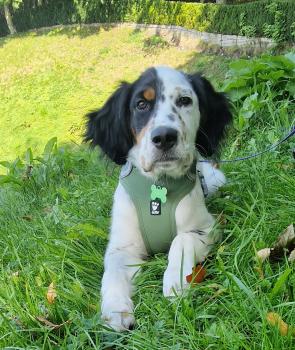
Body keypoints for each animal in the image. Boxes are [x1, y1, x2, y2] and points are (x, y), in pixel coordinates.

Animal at [84, 65, 232, 330]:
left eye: (184, 100)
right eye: (141, 104)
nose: (164, 137)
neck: (159, 185)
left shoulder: (207, 227)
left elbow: (181, 241)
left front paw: (175, 281)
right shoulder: (123, 245)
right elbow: (113, 271)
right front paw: (115, 308)